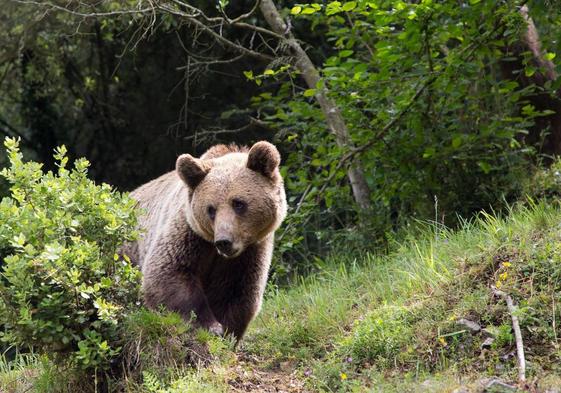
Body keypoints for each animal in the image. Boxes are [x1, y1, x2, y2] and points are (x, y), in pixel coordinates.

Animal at [125, 142, 286, 340]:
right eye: (211, 209)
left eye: (238, 203)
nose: (224, 241)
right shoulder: (189, 235)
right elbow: (168, 273)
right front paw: (209, 326)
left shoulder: (250, 253)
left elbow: (237, 292)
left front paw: (226, 331)